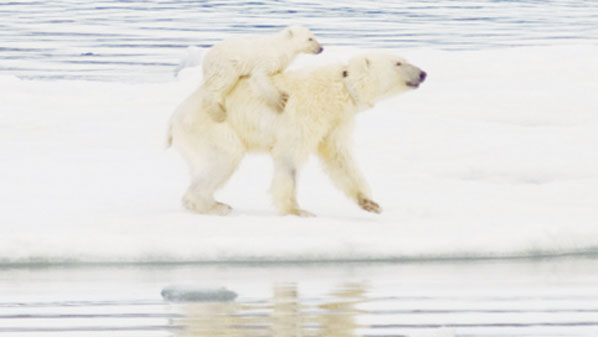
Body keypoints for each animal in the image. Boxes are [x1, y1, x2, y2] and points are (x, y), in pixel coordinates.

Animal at [169, 52, 426, 215]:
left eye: (404, 60)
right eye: (398, 63)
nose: (423, 73)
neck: (339, 89)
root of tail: (174, 120)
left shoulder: (336, 121)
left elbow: (339, 157)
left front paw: (370, 203)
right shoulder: (307, 112)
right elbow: (289, 156)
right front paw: (296, 210)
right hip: (214, 126)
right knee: (224, 158)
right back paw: (211, 205)